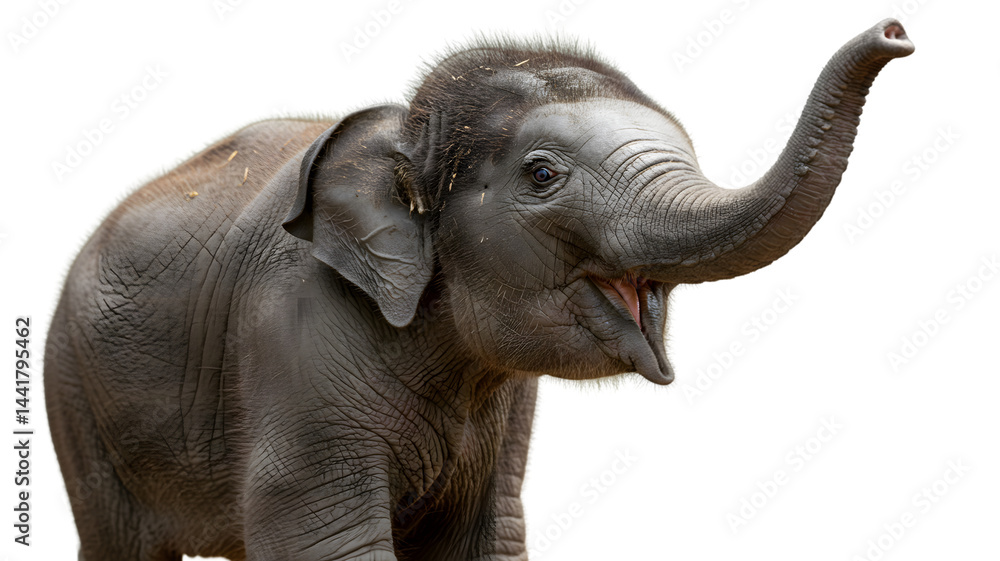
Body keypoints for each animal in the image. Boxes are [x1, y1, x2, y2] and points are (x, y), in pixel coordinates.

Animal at [44, 19, 913, 561]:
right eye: (543, 174)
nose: (897, 33)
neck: (407, 133)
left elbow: (485, 537)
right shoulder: (292, 340)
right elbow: (323, 536)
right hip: (75, 398)